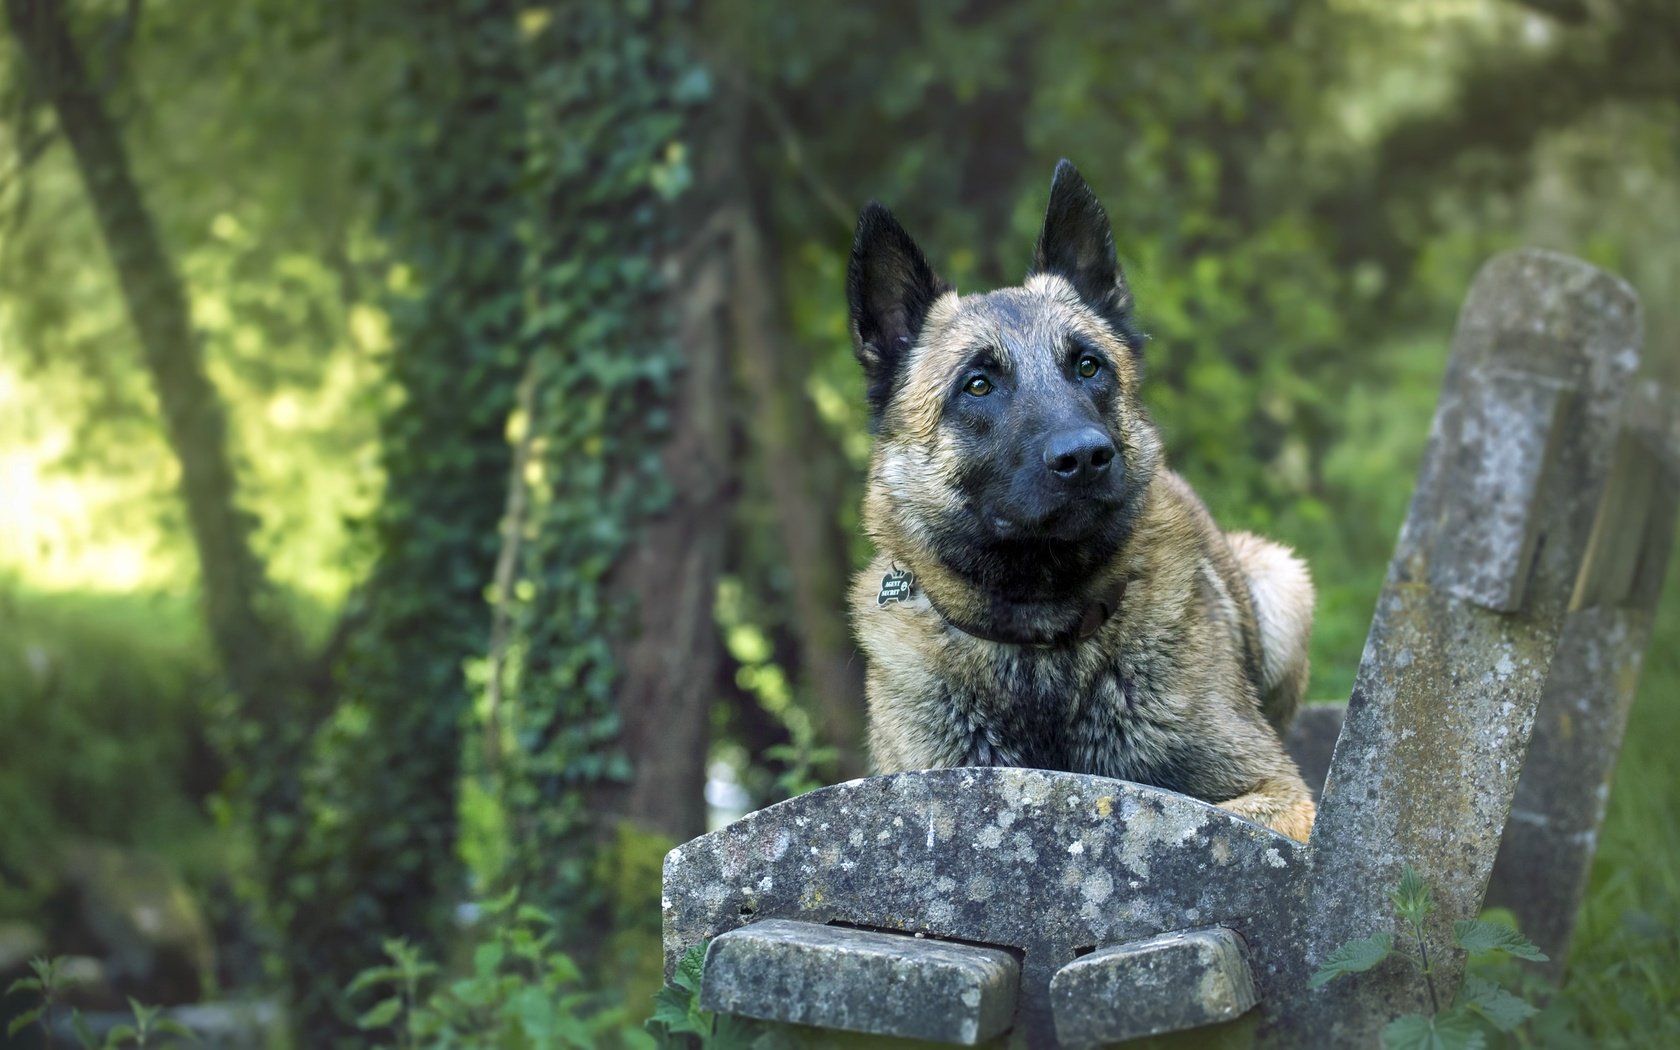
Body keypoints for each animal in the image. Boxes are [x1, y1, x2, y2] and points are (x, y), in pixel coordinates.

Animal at [846, 157, 1317, 843]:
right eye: (978, 385)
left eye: (1089, 366)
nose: (1087, 457)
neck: (1041, 638)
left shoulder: (1279, 793)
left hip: (1284, 582)